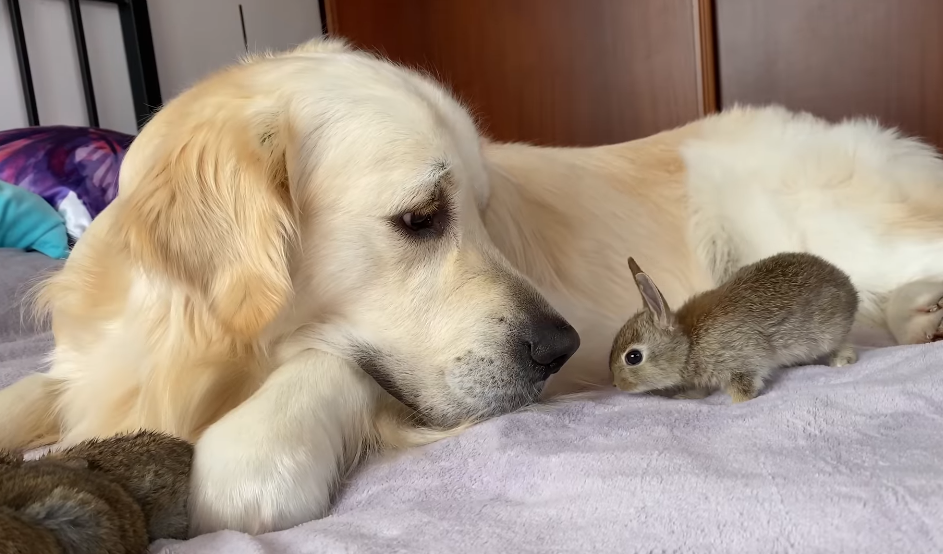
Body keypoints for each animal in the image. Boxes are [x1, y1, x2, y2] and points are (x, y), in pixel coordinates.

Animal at [1, 37, 943, 532]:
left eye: (485, 213)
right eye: (422, 216)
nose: (562, 349)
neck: (211, 351)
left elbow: (262, 449)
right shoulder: (90, 367)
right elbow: (31, 391)